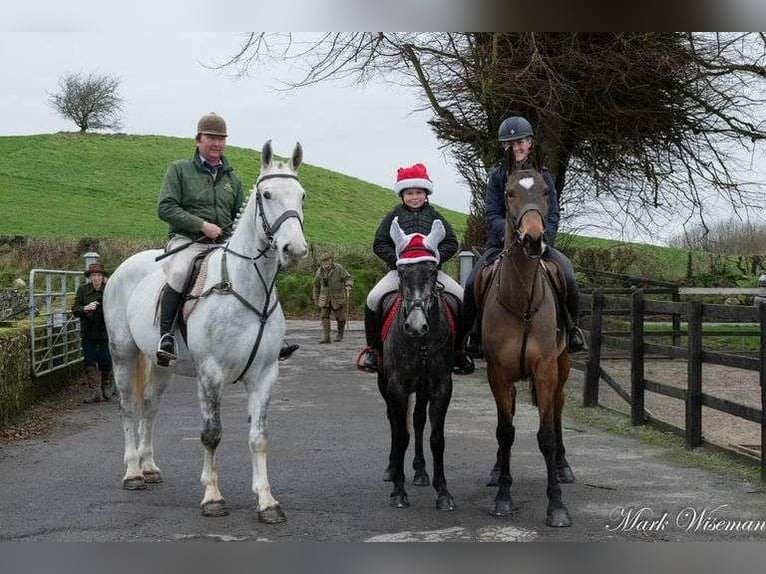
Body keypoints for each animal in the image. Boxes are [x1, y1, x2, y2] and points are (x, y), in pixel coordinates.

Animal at [104, 142, 308, 524]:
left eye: (302, 195)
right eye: (267, 194)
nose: (295, 250)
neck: (246, 286)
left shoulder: (265, 375)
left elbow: (259, 437)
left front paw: (267, 501)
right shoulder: (211, 374)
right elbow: (211, 434)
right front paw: (212, 497)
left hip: (161, 365)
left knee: (149, 407)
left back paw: (149, 466)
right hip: (122, 355)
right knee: (128, 408)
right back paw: (133, 472)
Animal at [378, 219, 456, 512]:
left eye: (432, 272)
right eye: (402, 273)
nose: (415, 326)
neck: (421, 343)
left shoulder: (441, 388)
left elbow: (436, 438)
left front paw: (442, 491)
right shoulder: (397, 388)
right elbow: (401, 435)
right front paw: (398, 492)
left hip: (422, 390)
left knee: (419, 422)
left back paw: (421, 471)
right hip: (384, 384)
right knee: (394, 421)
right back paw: (392, 469)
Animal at [480, 168, 576, 532]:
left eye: (547, 192)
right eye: (509, 193)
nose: (534, 239)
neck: (521, 301)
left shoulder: (545, 369)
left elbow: (546, 436)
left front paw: (557, 506)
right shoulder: (498, 373)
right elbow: (504, 432)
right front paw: (503, 497)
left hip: (563, 366)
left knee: (558, 409)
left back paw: (563, 468)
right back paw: (496, 471)